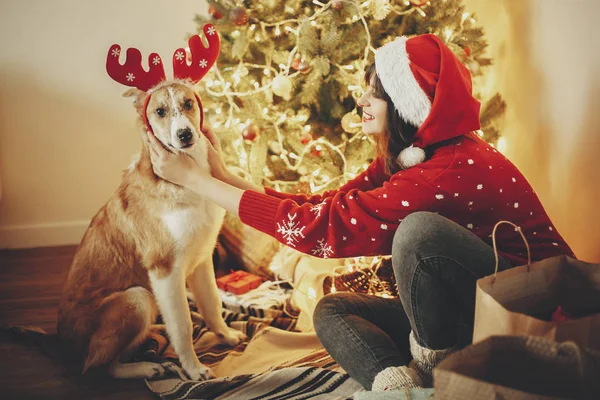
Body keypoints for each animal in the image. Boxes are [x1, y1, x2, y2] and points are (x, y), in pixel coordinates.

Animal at [57, 25, 241, 382]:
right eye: (159, 112)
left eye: (188, 103)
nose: (185, 135)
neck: (188, 183)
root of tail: (59, 345)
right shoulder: (164, 270)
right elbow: (183, 325)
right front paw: (193, 368)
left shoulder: (202, 258)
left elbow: (212, 303)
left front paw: (224, 335)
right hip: (138, 298)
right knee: (96, 367)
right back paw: (147, 366)